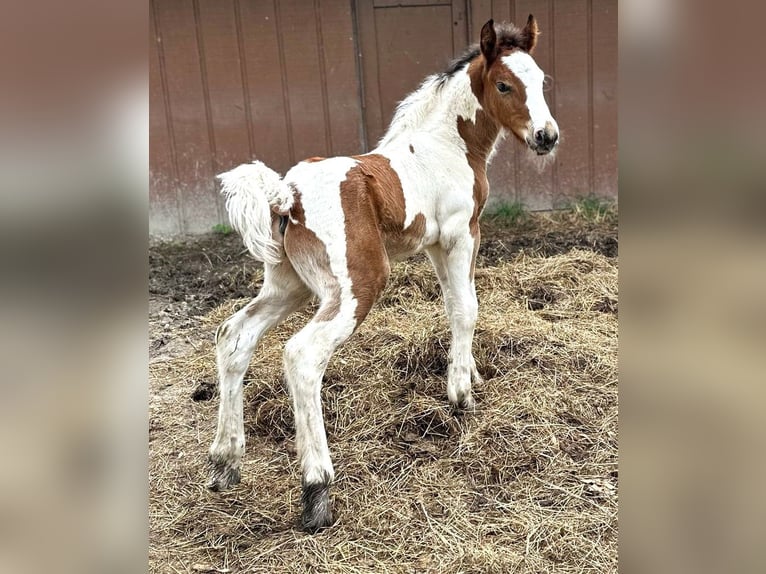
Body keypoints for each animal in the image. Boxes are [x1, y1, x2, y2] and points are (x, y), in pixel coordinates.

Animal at [207, 16, 559, 532]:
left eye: (541, 82)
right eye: (503, 85)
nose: (546, 137)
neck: (444, 146)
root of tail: (286, 193)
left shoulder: (437, 243)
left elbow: (455, 305)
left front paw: (469, 375)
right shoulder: (460, 233)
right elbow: (468, 308)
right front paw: (460, 396)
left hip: (287, 284)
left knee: (235, 336)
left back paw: (225, 463)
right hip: (357, 285)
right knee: (302, 355)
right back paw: (317, 491)